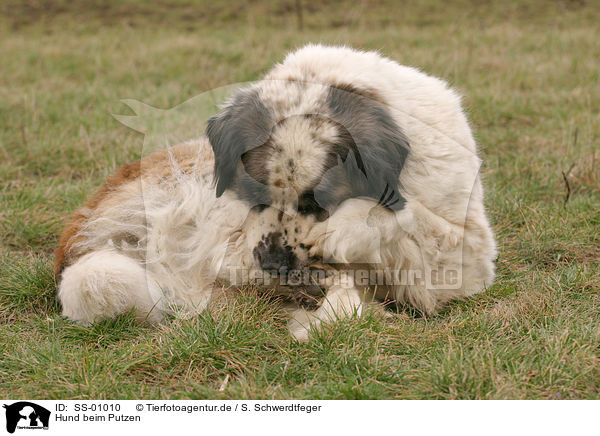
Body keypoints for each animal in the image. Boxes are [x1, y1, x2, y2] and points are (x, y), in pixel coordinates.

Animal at [55, 44, 496, 340]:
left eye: (316, 201)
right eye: (254, 194)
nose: (272, 261)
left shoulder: (465, 254)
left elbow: (404, 217)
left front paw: (339, 234)